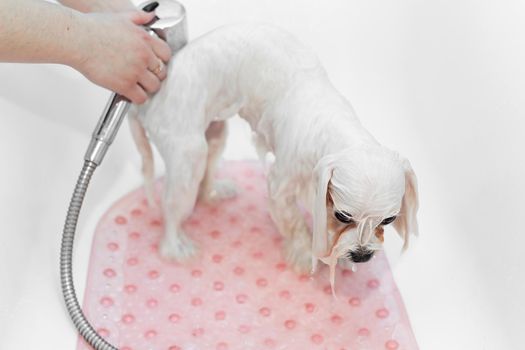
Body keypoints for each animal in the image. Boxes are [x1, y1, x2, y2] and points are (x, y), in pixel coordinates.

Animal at [126, 23, 418, 276]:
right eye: (342, 215)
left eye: (389, 220)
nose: (362, 255)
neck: (329, 127)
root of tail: (148, 99)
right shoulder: (282, 182)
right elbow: (293, 221)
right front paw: (304, 254)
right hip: (187, 149)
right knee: (173, 206)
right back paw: (175, 248)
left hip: (215, 130)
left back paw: (213, 193)